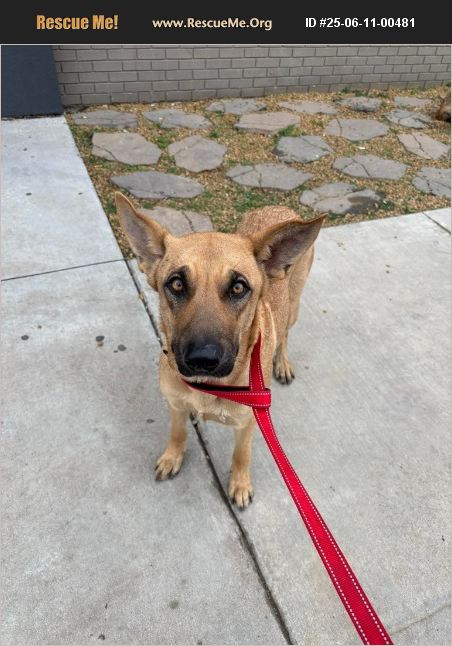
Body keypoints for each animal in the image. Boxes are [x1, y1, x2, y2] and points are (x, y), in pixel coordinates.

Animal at [115, 192, 324, 508]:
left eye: (238, 287)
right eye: (176, 283)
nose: (202, 360)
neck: (209, 387)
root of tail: (278, 208)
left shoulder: (247, 425)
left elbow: (241, 454)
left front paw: (239, 484)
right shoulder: (174, 404)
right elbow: (177, 432)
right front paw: (172, 457)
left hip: (293, 307)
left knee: (285, 335)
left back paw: (283, 363)